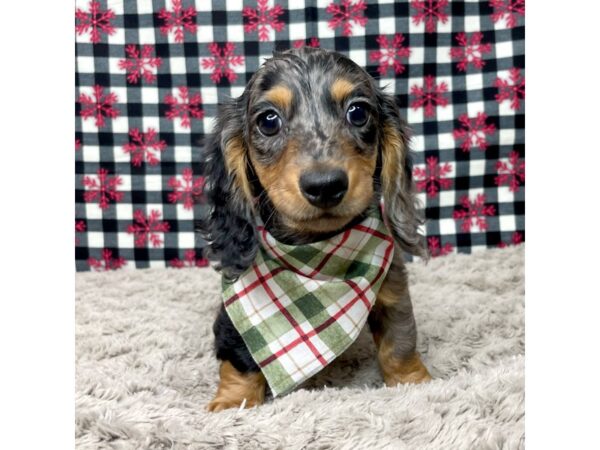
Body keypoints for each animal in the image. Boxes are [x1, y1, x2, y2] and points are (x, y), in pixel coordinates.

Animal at [200, 46, 432, 412]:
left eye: (357, 112)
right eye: (268, 121)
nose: (325, 185)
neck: (318, 255)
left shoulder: (393, 286)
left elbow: (399, 341)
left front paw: (414, 383)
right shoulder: (234, 312)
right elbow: (238, 355)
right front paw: (233, 402)